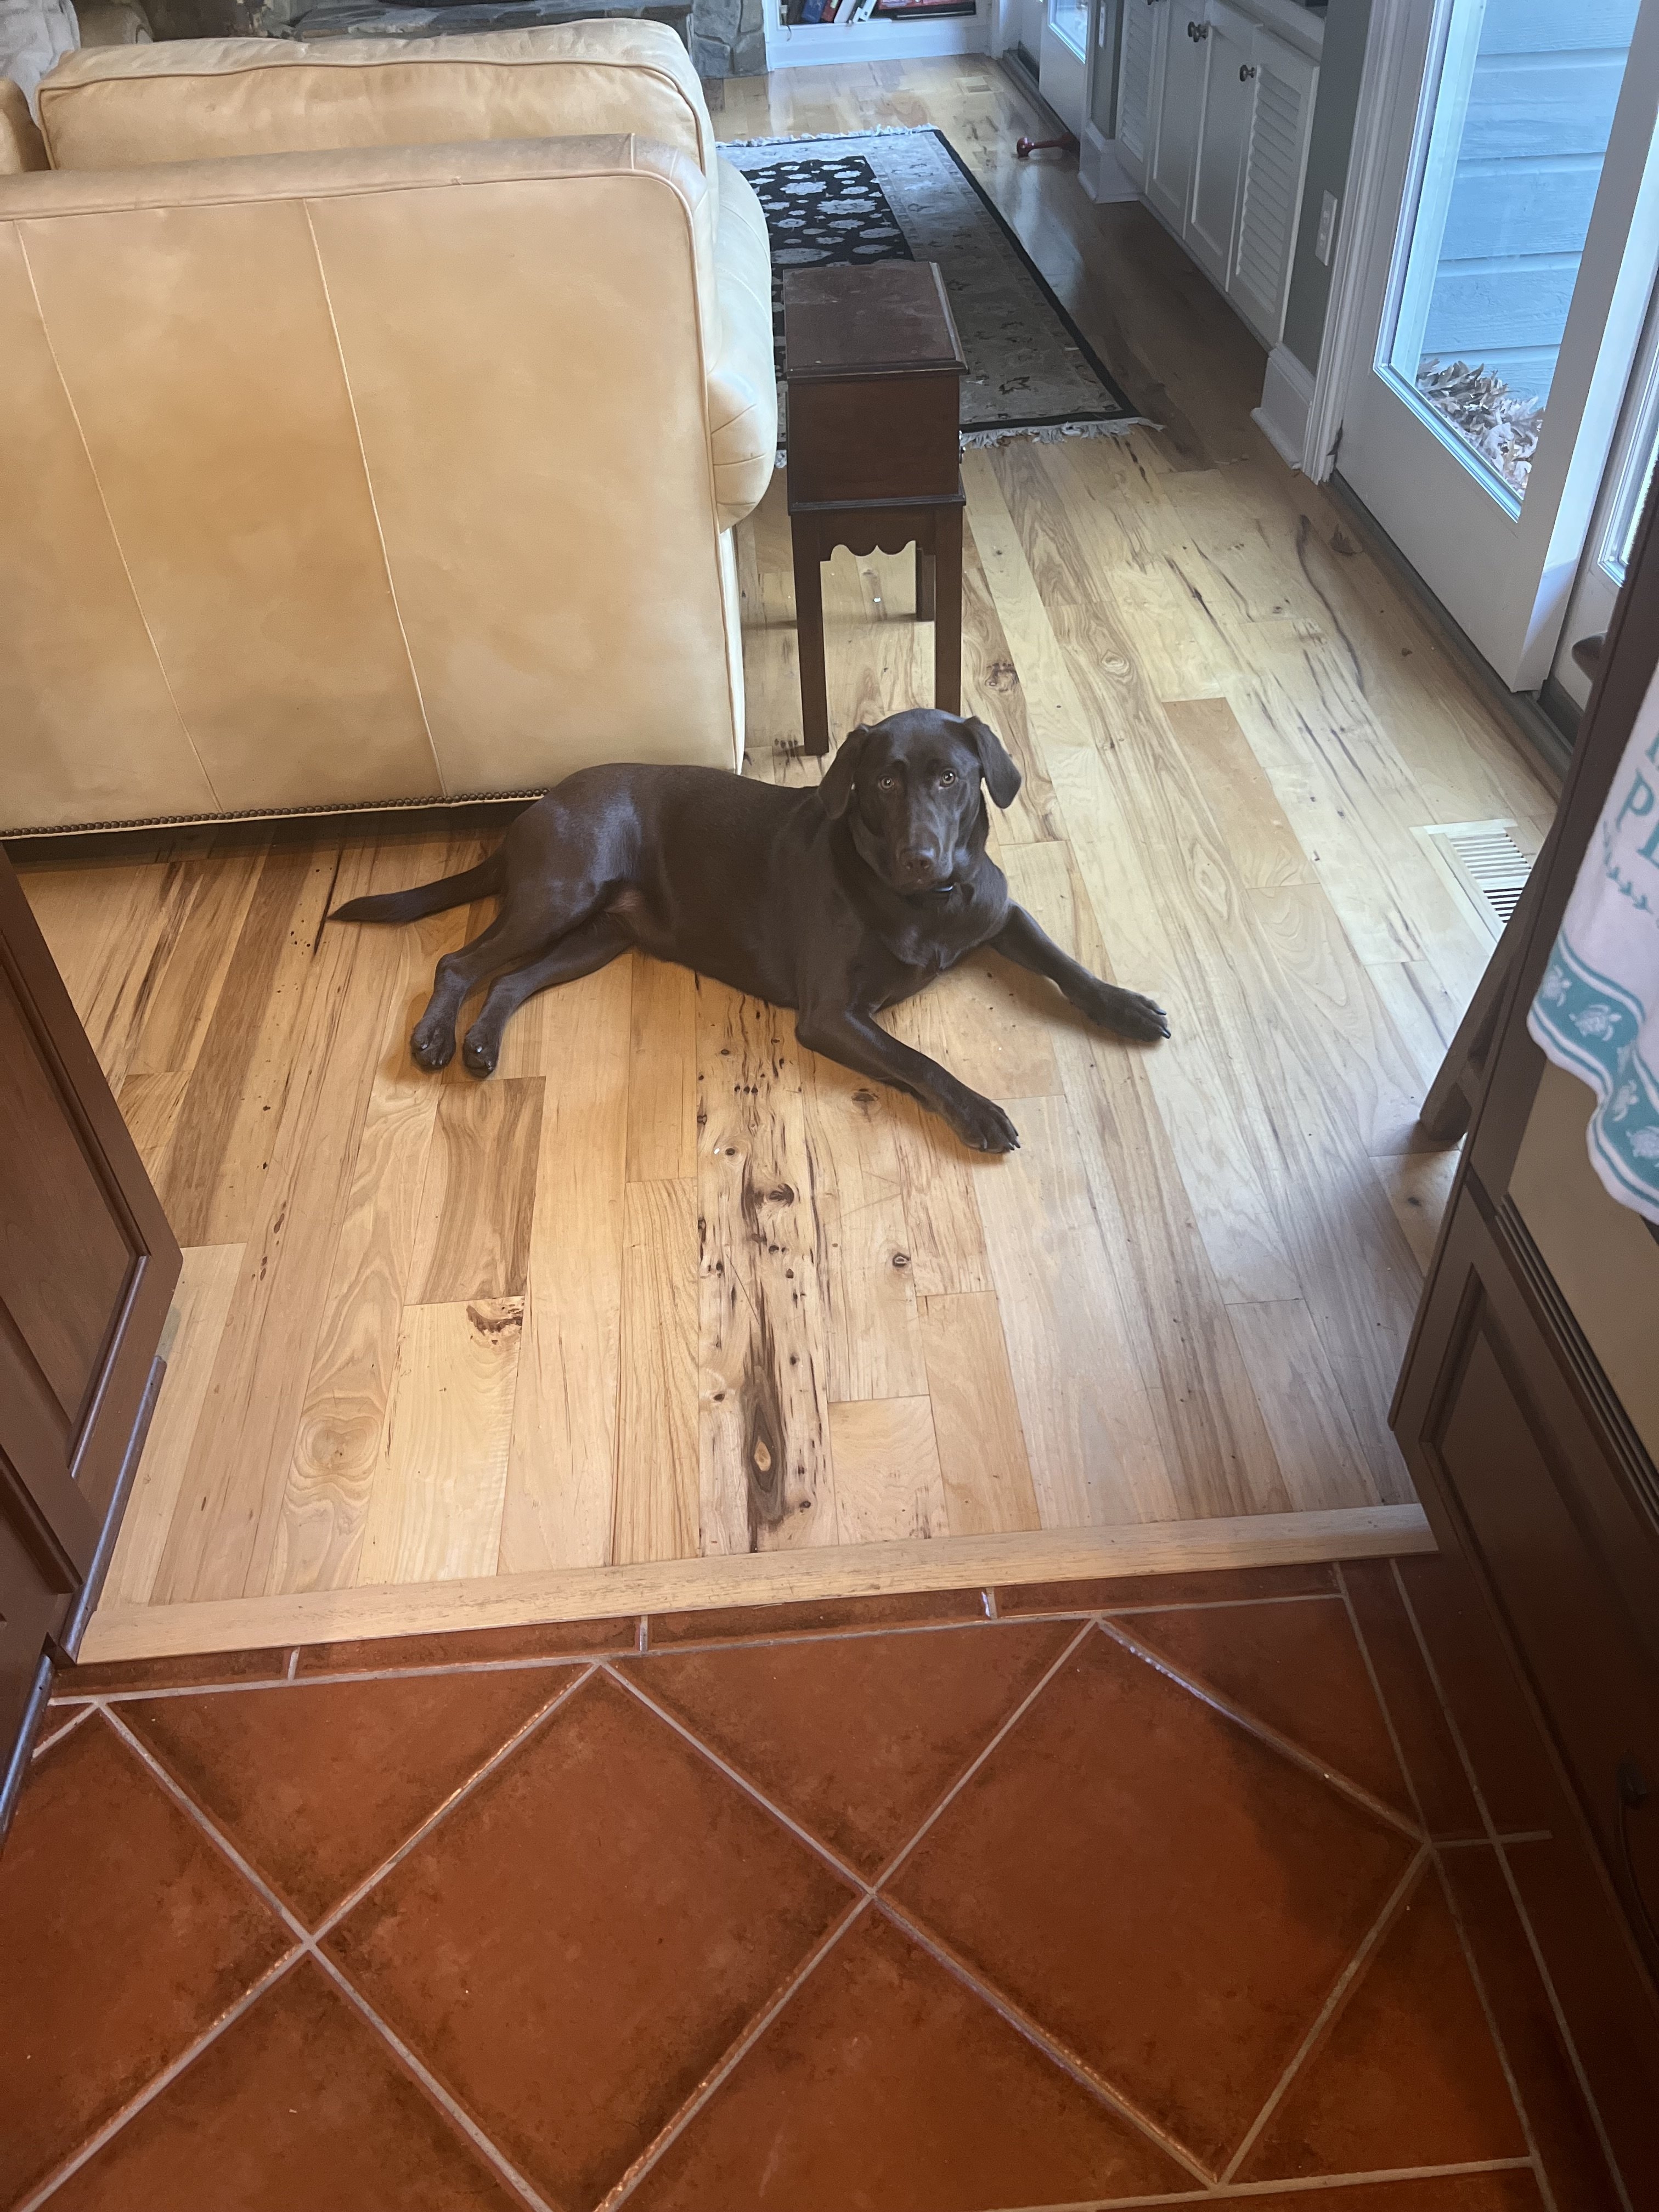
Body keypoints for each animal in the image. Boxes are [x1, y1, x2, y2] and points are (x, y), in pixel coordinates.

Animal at [331, 709, 1170, 1153]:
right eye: (883, 781)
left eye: (950, 779)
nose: (921, 855)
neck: (924, 904)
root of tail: (536, 806)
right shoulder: (832, 1015)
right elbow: (920, 1062)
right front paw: (979, 1110)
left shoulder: (999, 914)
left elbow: (1066, 965)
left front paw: (1126, 1007)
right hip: (559, 896)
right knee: (458, 961)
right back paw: (436, 1037)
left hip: (598, 937)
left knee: (507, 979)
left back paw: (480, 1043)